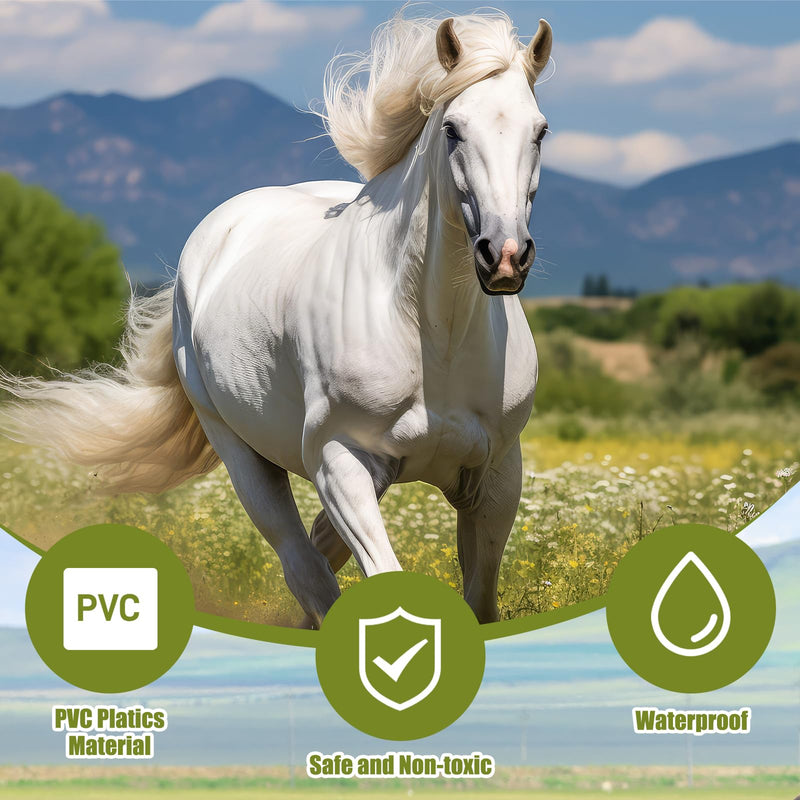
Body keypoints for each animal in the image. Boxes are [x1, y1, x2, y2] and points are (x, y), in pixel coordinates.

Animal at [0, 12, 552, 627]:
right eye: (453, 129)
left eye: (540, 131)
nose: (504, 256)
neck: (436, 337)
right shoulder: (340, 462)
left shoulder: (496, 475)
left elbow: (481, 600)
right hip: (241, 452)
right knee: (303, 565)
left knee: (318, 548)